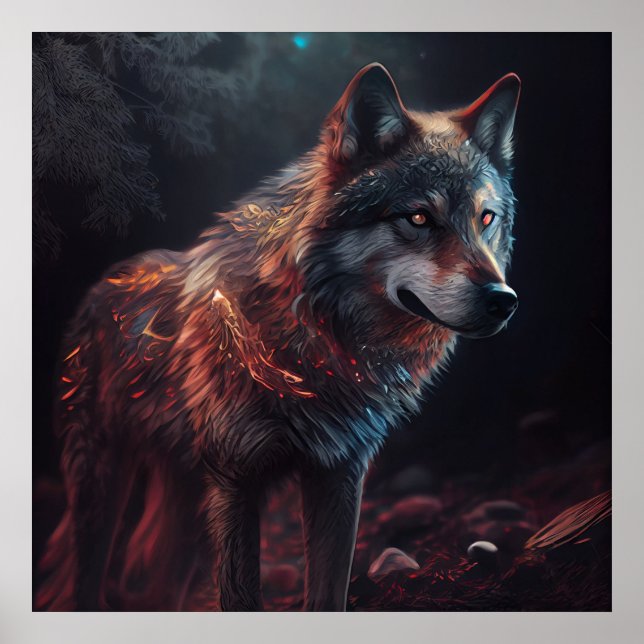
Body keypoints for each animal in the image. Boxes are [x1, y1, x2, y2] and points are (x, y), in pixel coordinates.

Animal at [36, 62, 520, 611]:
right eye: (418, 217)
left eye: (486, 218)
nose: (503, 299)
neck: (315, 342)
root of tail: (103, 283)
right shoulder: (237, 481)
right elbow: (241, 598)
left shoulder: (340, 476)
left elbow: (328, 595)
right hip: (103, 488)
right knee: (86, 583)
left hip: (188, 508)